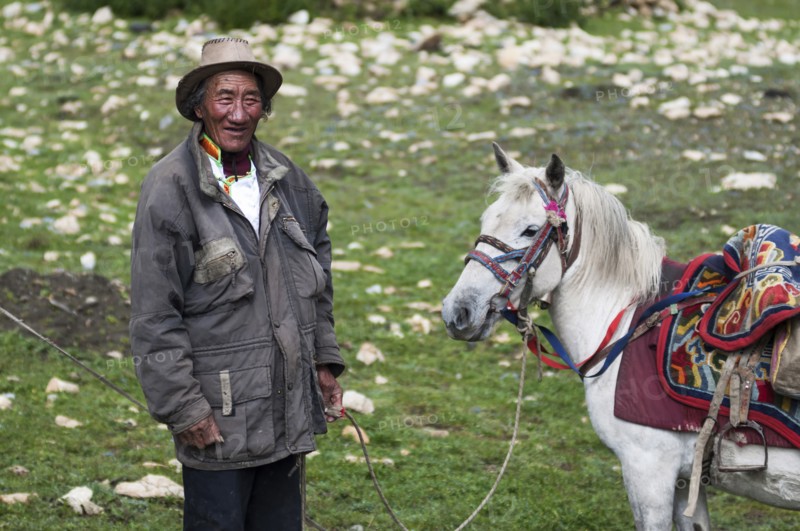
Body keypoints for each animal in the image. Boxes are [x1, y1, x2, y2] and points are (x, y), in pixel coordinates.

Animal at [441, 143, 800, 530]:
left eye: (530, 229)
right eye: (486, 220)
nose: (457, 312)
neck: (626, 321)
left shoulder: (648, 472)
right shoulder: (684, 480)